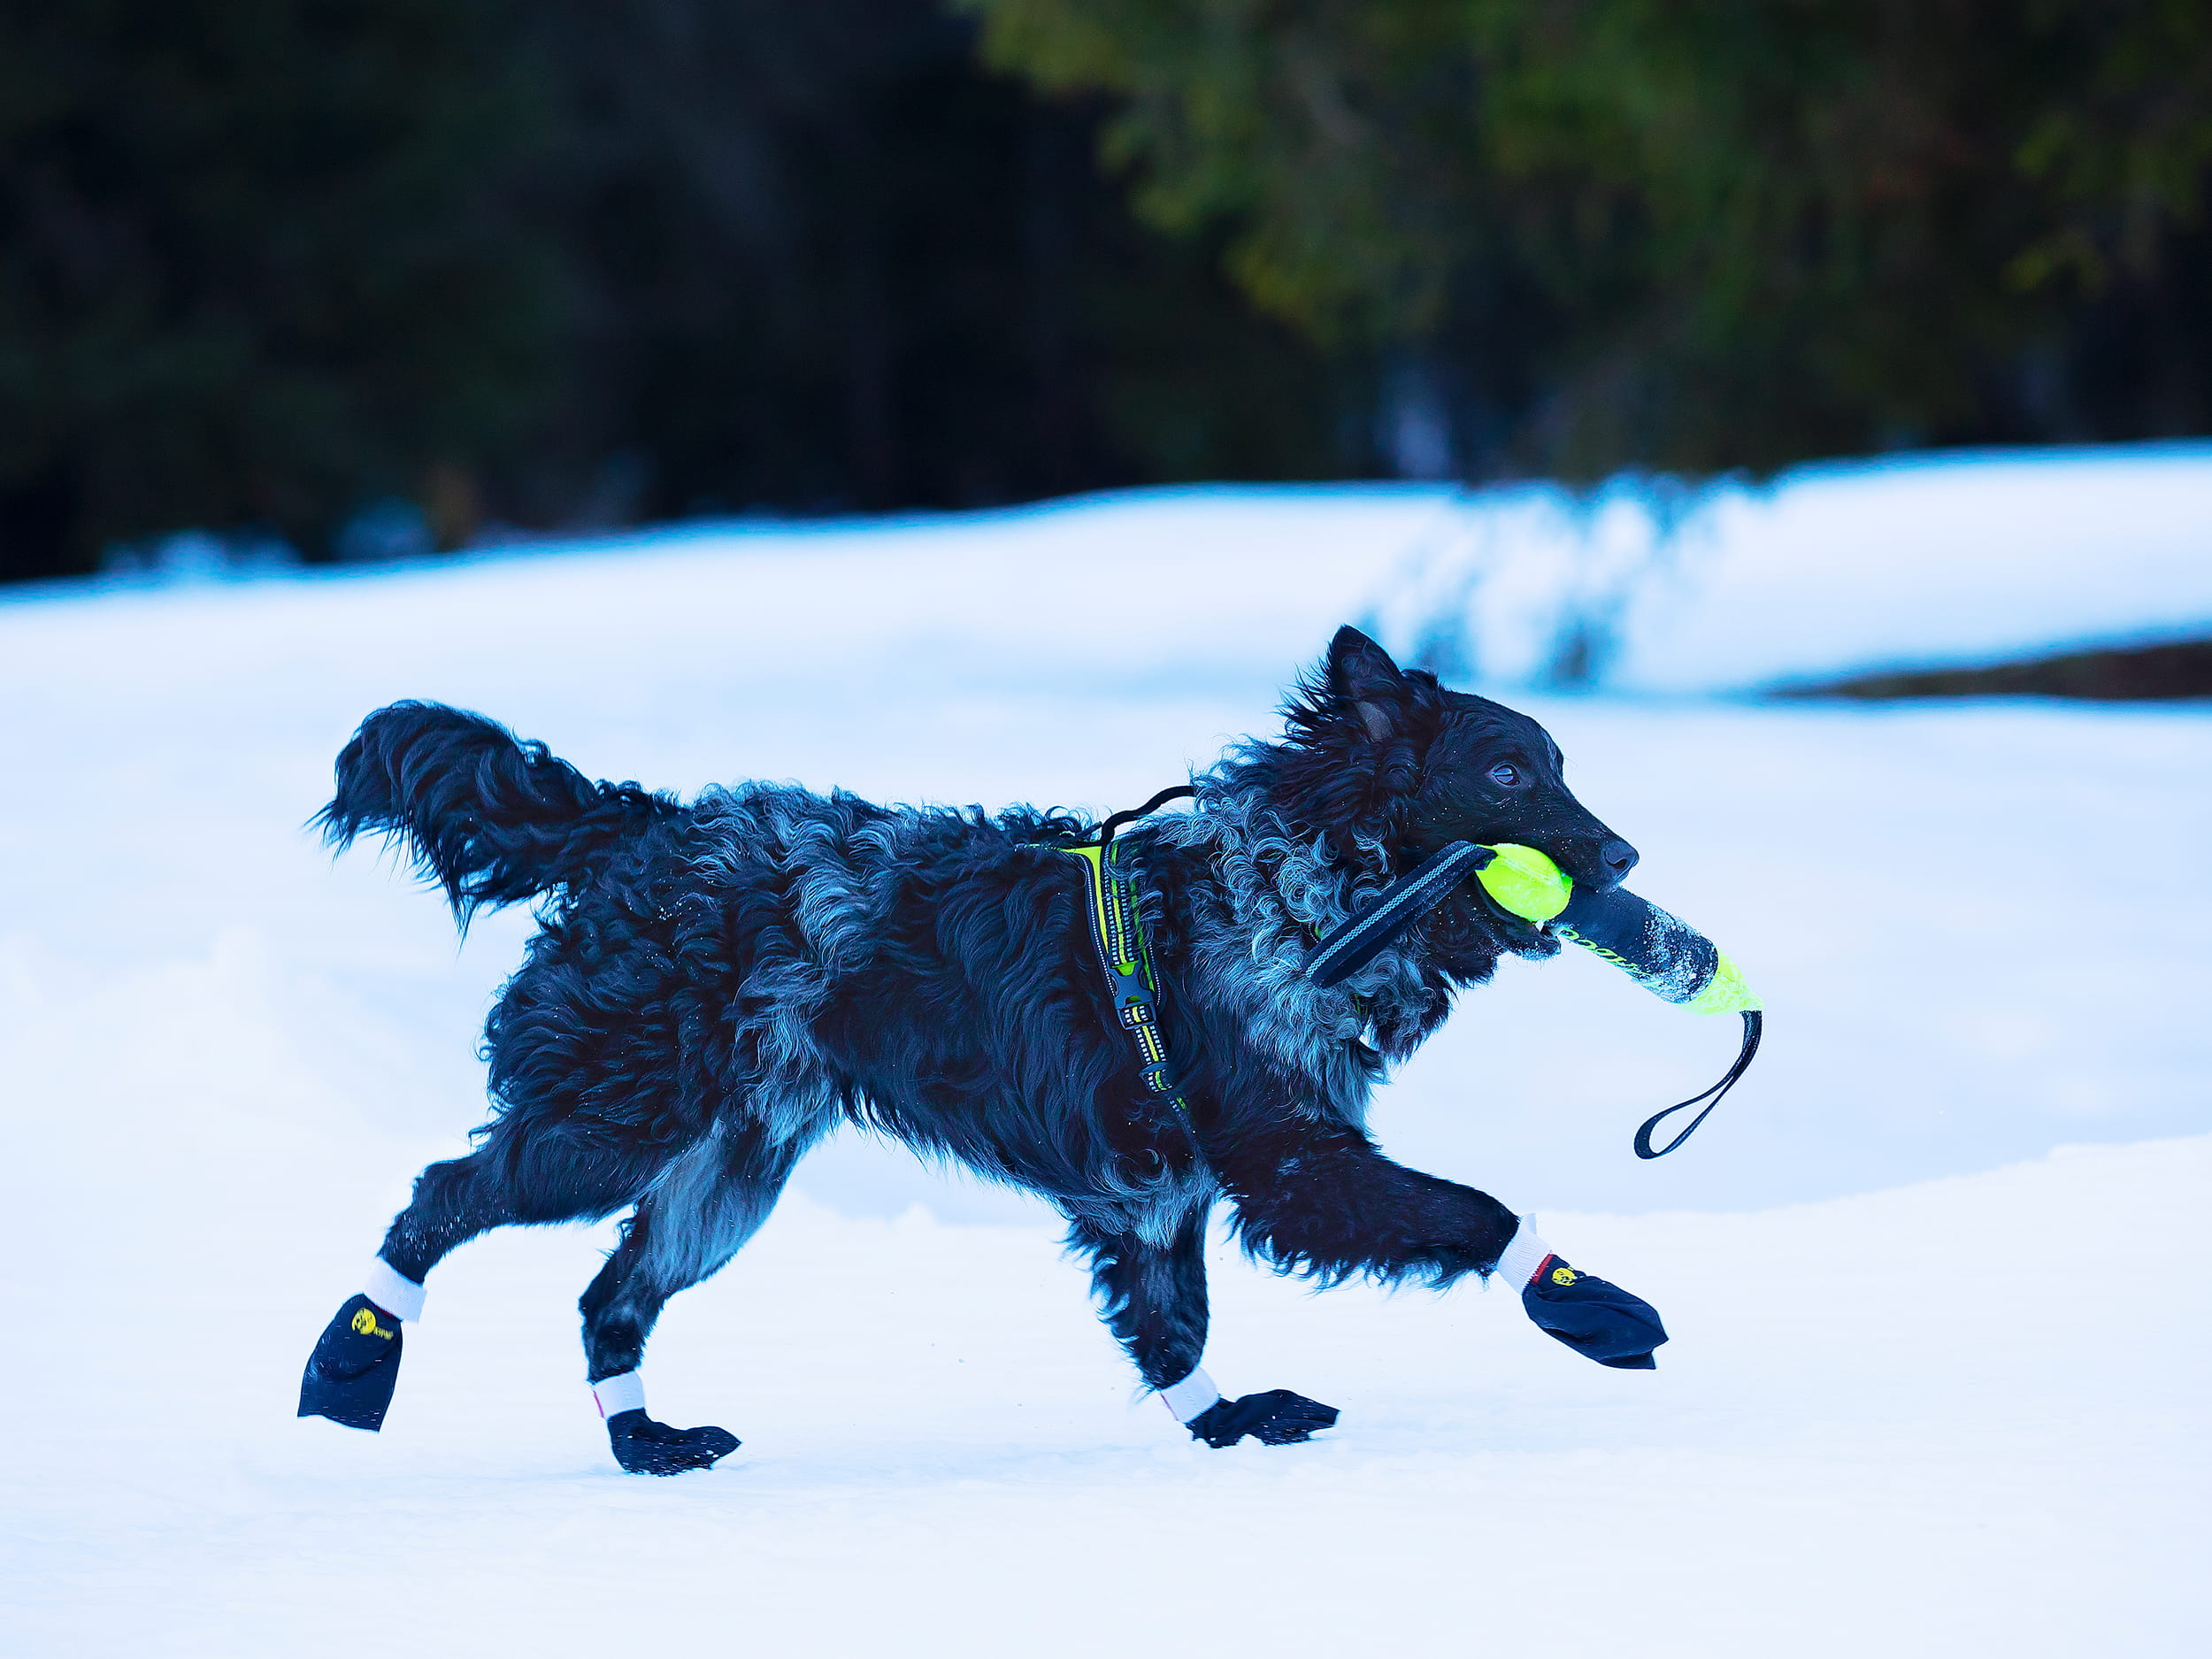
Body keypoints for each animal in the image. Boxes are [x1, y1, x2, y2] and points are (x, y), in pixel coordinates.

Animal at [299, 625, 1667, 1472]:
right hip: (615, 1122)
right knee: (439, 1197)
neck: (1297, 881)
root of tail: (642, 827)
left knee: (608, 1297)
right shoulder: (1288, 1162)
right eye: (1509, 771)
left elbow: (1174, 1335)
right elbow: (1474, 1211)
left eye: (1560, 763)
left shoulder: (1155, 1196)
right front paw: (1586, 1301)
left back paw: (649, 1442)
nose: (1623, 858)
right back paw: (351, 1359)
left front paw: (1229, 1422)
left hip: (730, 1171)